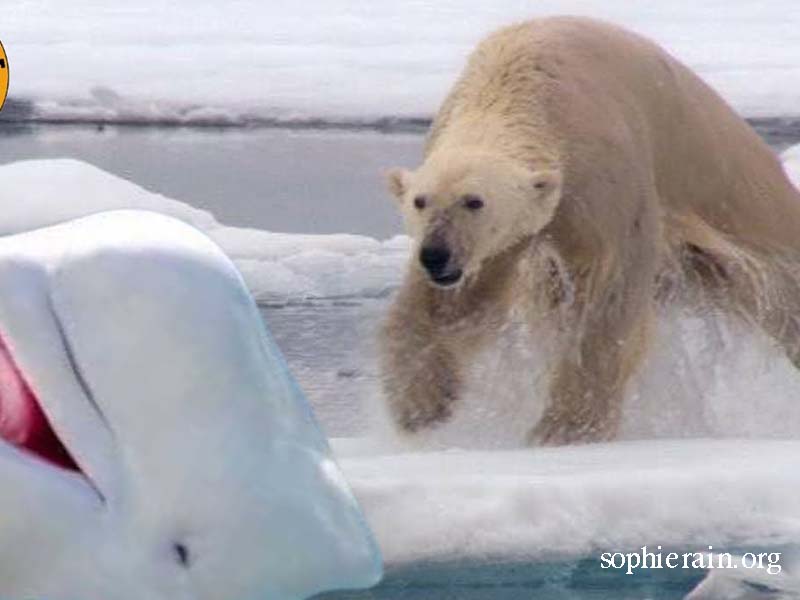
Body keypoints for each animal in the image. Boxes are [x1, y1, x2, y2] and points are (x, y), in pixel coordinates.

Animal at [378, 16, 800, 446]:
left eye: (474, 201)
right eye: (420, 201)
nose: (436, 255)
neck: (519, 85)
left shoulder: (602, 174)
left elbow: (607, 296)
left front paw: (564, 430)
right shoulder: (503, 239)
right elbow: (456, 304)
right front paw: (422, 403)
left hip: (732, 189)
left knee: (783, 285)